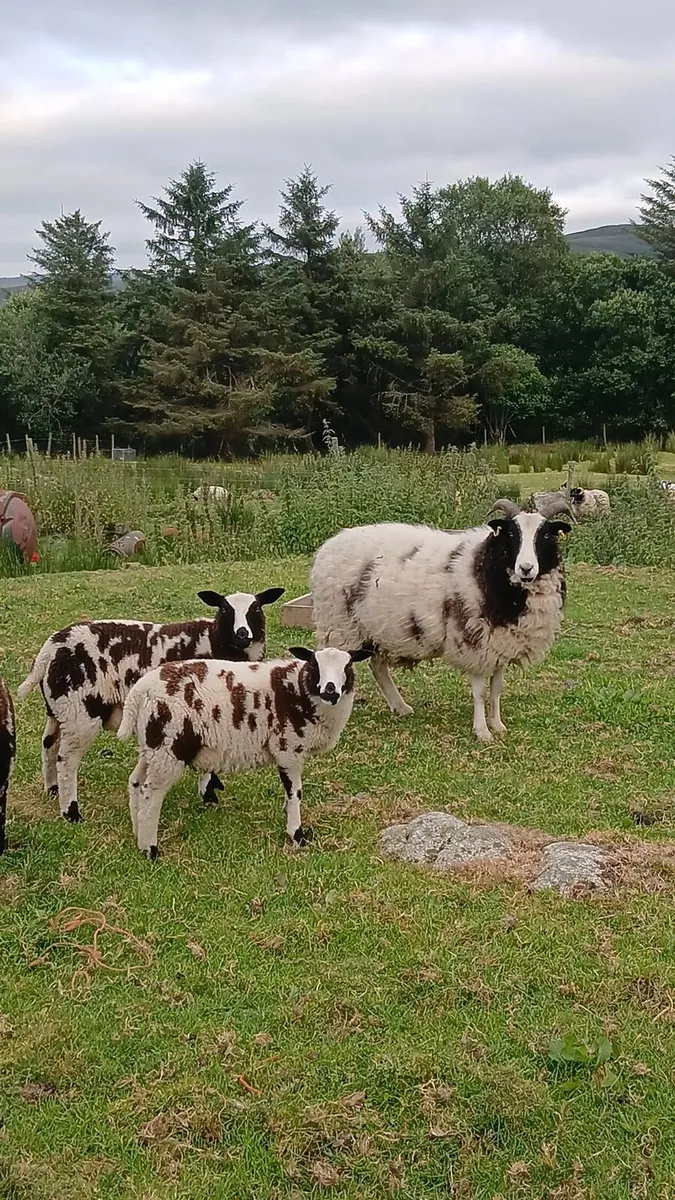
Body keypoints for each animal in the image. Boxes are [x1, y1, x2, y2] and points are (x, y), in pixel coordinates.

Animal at [16, 587, 285, 823]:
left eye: (256, 608)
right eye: (225, 609)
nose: (242, 633)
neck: (214, 641)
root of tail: (49, 649)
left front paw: (211, 788)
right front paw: (208, 793)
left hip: (59, 709)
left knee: (49, 744)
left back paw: (52, 789)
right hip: (79, 714)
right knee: (67, 760)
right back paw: (71, 812)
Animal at [117, 646, 372, 858]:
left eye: (347, 666)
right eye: (315, 665)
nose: (331, 691)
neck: (298, 689)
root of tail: (140, 690)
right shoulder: (287, 748)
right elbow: (295, 792)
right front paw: (297, 835)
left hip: (151, 746)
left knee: (136, 782)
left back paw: (136, 832)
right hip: (168, 748)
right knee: (151, 794)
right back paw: (150, 849)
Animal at [310, 498, 573, 743]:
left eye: (546, 534)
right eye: (510, 533)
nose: (526, 568)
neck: (486, 564)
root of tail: (328, 546)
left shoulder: (500, 643)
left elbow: (497, 689)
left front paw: (497, 725)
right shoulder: (476, 642)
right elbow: (480, 692)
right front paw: (482, 731)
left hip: (379, 629)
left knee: (378, 667)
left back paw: (400, 706)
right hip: (340, 625)